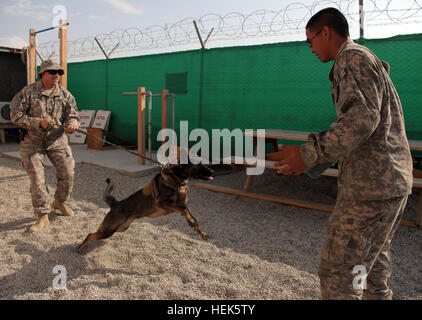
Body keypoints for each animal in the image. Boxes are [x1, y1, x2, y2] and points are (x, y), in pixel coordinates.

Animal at [77, 164, 214, 254]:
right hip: (108, 230)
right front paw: (191, 222)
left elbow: (192, 217)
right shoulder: (162, 202)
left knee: (94, 234)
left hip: (120, 229)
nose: (213, 171)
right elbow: (183, 209)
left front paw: (201, 232)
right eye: (198, 164)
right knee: (90, 234)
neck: (176, 178)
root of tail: (116, 204)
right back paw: (80, 248)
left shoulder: (181, 204)